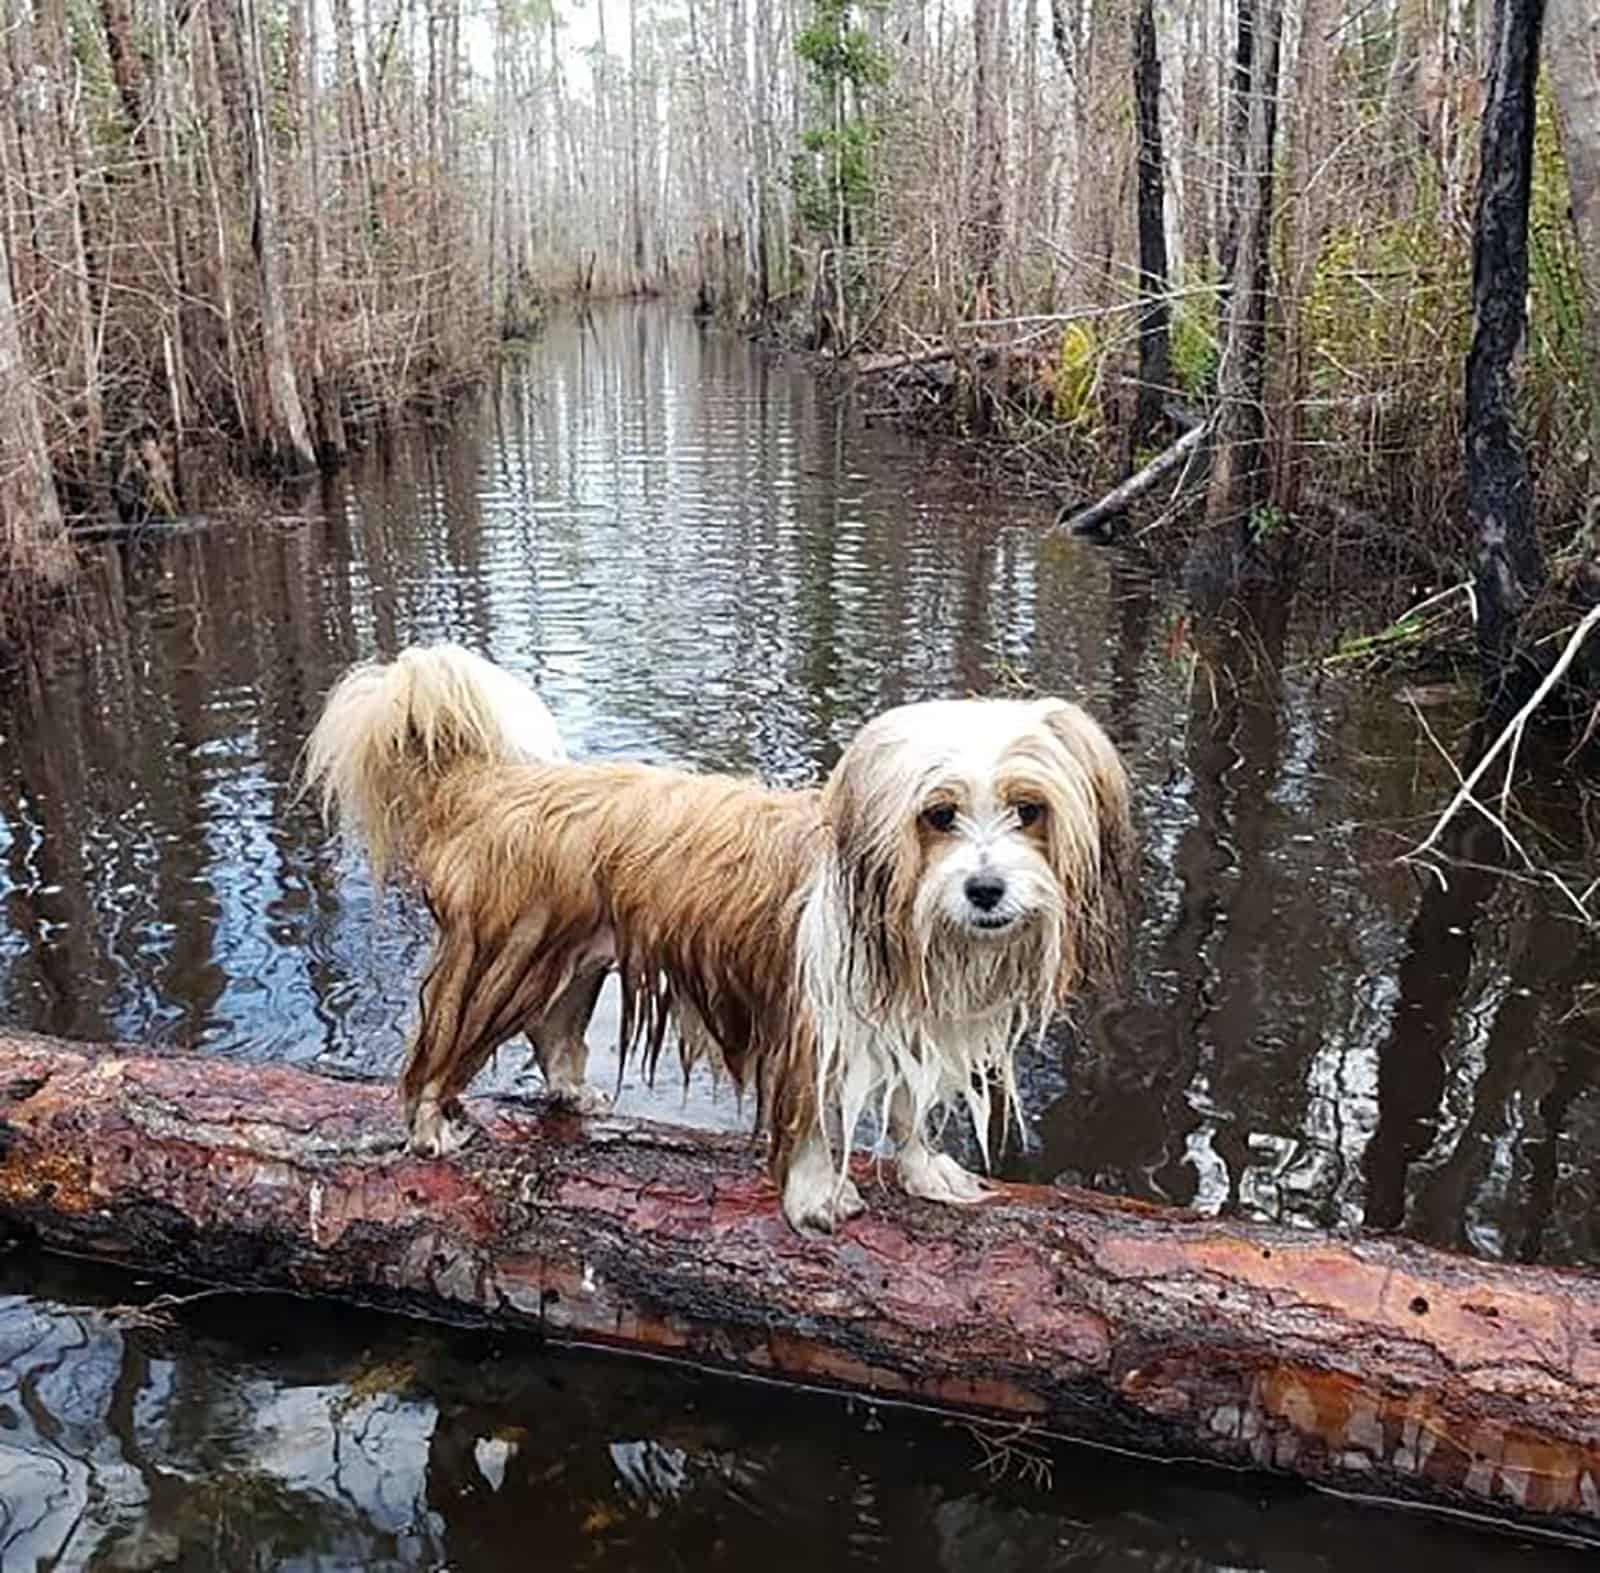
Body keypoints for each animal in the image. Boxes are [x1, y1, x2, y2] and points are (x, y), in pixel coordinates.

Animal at [305, 640, 1132, 1228]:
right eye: (939, 813)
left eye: (1030, 810)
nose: (985, 889)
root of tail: (481, 784)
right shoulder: (807, 1024)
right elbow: (810, 1122)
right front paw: (814, 1199)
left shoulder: (911, 1018)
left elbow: (909, 1106)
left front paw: (924, 1169)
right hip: (501, 960)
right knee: (436, 1053)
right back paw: (430, 1127)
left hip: (572, 958)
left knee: (554, 1030)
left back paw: (572, 1091)